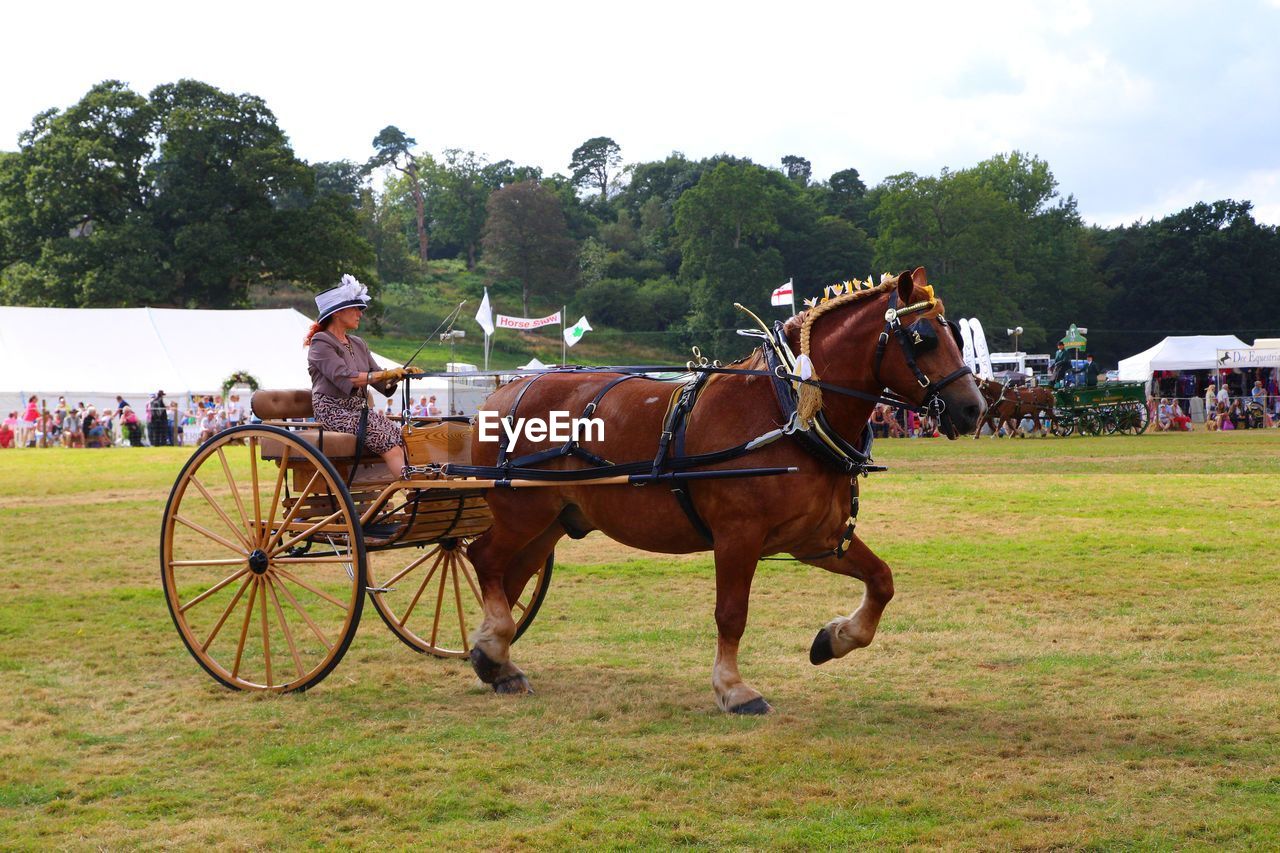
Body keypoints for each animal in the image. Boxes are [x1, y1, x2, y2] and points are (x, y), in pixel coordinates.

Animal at [465, 266, 983, 712]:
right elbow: (732, 613)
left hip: (552, 521)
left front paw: (834, 639)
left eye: (957, 336)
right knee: (484, 560)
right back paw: (493, 649)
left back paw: (496, 661)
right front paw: (734, 689)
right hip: (520, 512)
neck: (788, 409)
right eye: (924, 338)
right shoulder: (739, 535)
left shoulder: (814, 539)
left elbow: (882, 580)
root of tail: (498, 395)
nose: (974, 409)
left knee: (510, 578)